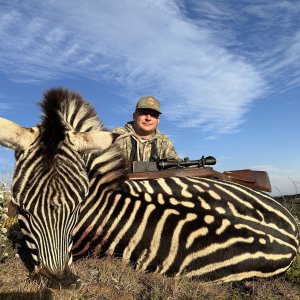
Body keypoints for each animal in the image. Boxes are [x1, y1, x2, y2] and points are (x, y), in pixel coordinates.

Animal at [0, 88, 298, 290]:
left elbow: (16, 241)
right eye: (23, 206)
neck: (98, 195)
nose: (62, 283)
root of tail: (292, 238)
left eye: (77, 205)